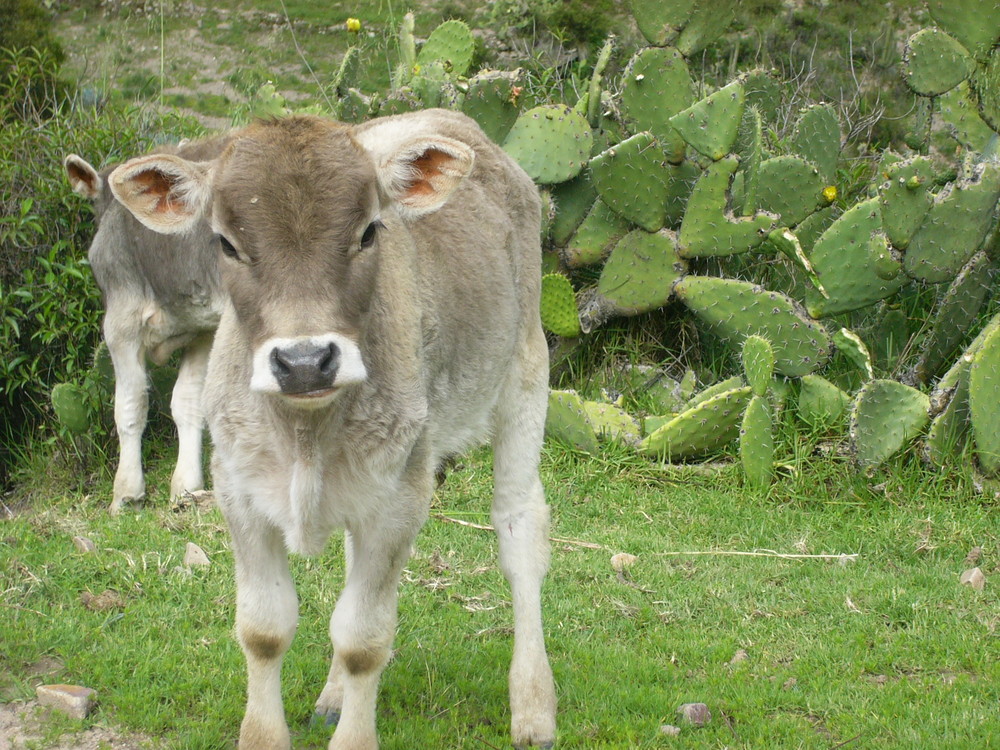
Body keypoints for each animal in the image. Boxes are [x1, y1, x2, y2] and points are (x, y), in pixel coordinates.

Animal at [64, 135, 230, 516]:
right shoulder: (202, 330)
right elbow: (186, 402)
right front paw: (186, 485)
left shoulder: (119, 325)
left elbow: (129, 405)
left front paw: (126, 491)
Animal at [111, 108, 564, 748]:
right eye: (226, 242)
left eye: (369, 232)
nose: (304, 361)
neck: (305, 435)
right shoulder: (238, 491)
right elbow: (264, 629)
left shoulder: (401, 495)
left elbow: (363, 639)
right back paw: (331, 695)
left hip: (525, 372)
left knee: (519, 528)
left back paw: (532, 706)